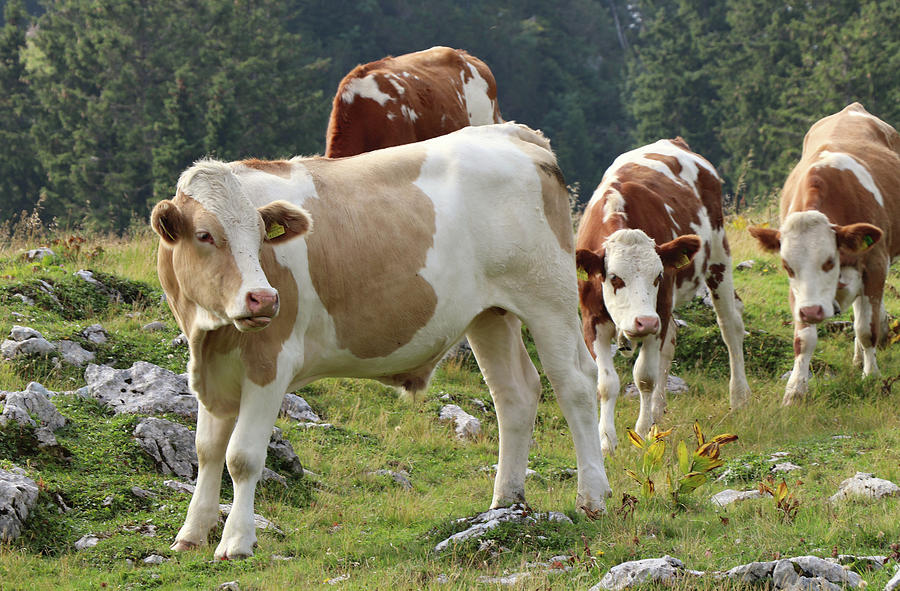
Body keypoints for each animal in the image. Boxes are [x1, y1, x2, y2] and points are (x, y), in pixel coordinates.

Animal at [149, 121, 612, 560]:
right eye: (204, 235)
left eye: (262, 236)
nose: (263, 298)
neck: (213, 334)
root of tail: (511, 132)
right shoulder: (211, 370)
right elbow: (207, 450)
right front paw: (191, 534)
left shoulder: (271, 363)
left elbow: (242, 457)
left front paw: (236, 542)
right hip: (490, 314)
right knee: (514, 393)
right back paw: (505, 503)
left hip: (548, 298)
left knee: (575, 383)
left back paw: (592, 498)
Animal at [576, 139, 752, 454]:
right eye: (615, 277)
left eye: (658, 276)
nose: (644, 321)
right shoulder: (591, 319)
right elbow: (606, 383)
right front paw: (606, 440)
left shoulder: (659, 308)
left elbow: (644, 376)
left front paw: (642, 432)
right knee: (669, 345)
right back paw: (658, 411)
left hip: (718, 257)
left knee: (730, 327)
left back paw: (739, 396)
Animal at [744, 103, 900, 408]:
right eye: (787, 267)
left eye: (828, 261)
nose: (812, 311)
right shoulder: (799, 292)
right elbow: (803, 340)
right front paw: (795, 391)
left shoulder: (875, 265)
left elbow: (867, 329)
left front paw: (872, 377)